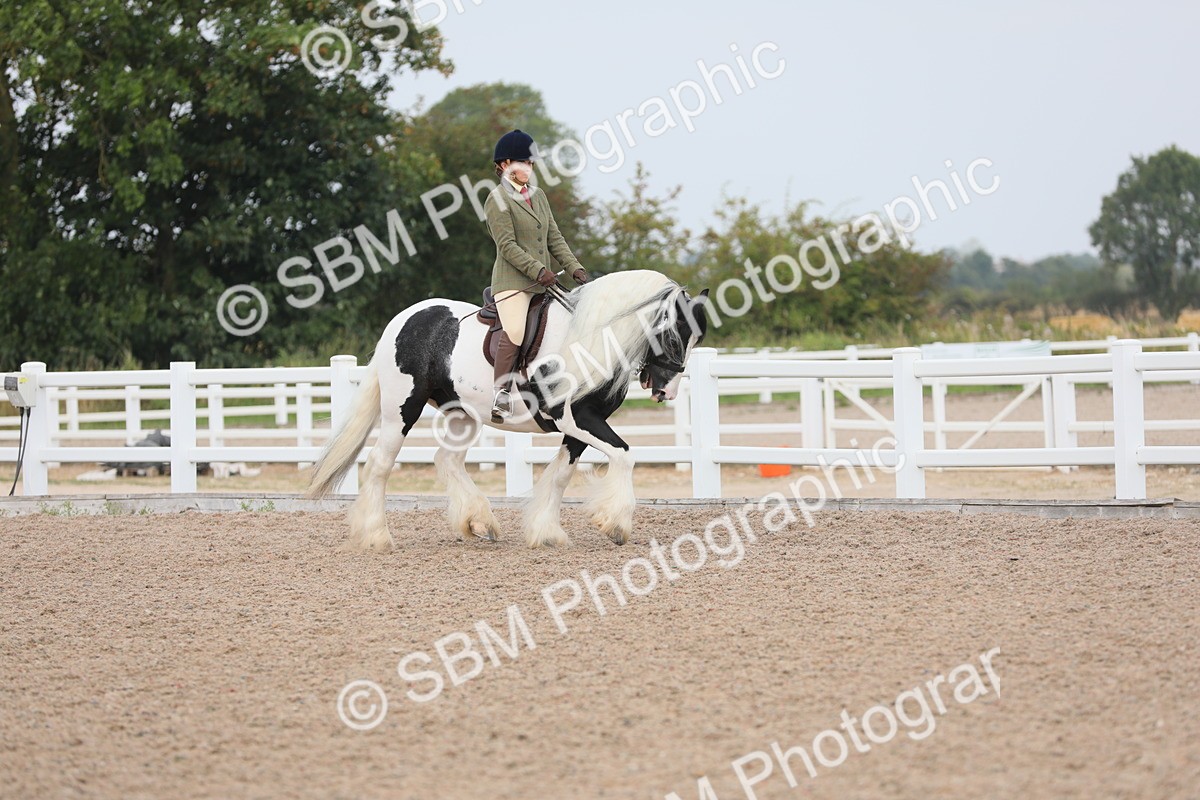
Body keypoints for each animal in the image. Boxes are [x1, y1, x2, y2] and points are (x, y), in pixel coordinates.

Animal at [307, 269, 709, 550]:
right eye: (673, 334)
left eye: (695, 339)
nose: (666, 391)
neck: (592, 339)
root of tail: (401, 320)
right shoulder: (576, 418)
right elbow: (625, 455)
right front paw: (616, 525)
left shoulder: (580, 426)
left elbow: (562, 475)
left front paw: (547, 532)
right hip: (401, 410)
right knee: (380, 464)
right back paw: (378, 536)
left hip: (463, 416)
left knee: (446, 461)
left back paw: (478, 522)